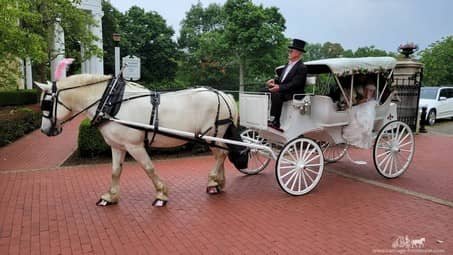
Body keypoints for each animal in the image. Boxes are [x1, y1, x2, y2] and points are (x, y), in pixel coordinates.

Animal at [34, 73, 238, 207]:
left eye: (47, 104)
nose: (44, 130)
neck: (110, 103)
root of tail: (223, 95)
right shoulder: (117, 146)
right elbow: (115, 171)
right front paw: (110, 197)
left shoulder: (134, 146)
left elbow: (148, 168)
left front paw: (161, 195)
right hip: (212, 137)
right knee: (221, 154)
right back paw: (218, 183)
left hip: (212, 135)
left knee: (222, 154)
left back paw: (212, 181)